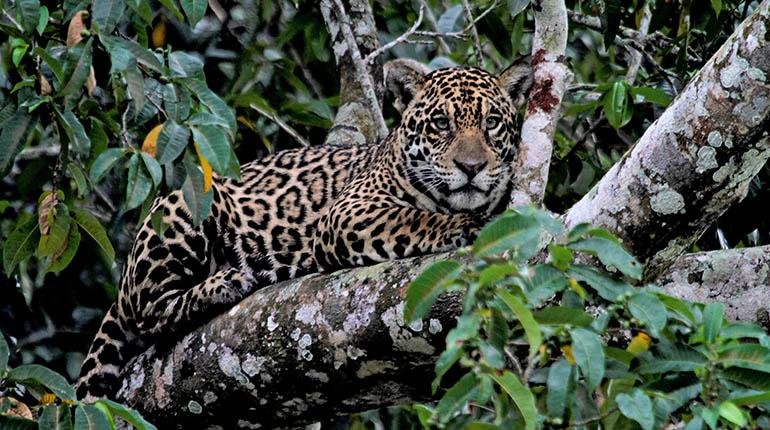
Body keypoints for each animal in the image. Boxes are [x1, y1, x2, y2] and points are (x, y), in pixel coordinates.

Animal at [75, 60, 533, 400]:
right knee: (149, 313)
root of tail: (125, 278)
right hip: (183, 203)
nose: (471, 167)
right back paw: (226, 282)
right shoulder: (348, 212)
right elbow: (417, 219)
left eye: (492, 122)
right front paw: (470, 225)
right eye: (440, 123)